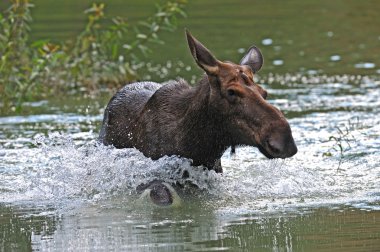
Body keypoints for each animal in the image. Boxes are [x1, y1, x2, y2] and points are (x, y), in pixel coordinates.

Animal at [99, 30, 298, 205]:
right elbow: (163, 197)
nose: (284, 140)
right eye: (231, 91)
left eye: (264, 92)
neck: (197, 147)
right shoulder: (148, 178)